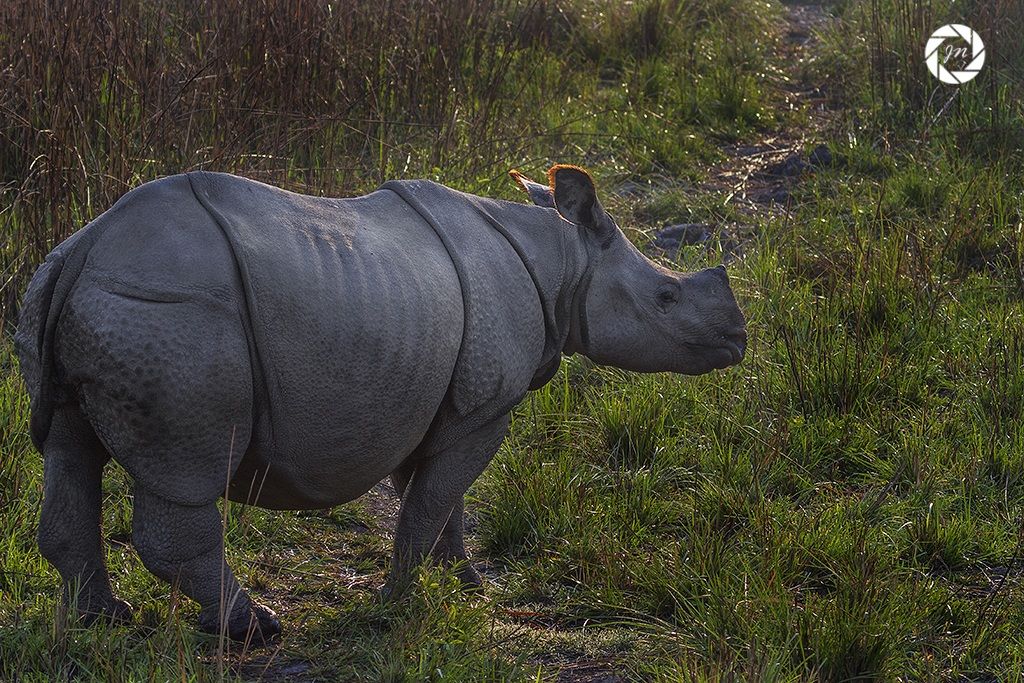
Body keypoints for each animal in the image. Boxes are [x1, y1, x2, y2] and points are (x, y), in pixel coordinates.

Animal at [15, 164, 746, 642]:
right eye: (666, 298)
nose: (738, 339)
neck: (565, 258)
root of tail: (83, 251)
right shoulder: (486, 407)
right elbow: (429, 502)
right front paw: (396, 602)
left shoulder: (436, 396)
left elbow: (439, 499)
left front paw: (468, 584)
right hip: (172, 320)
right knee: (182, 480)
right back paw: (256, 627)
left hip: (80, 302)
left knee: (69, 451)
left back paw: (104, 620)